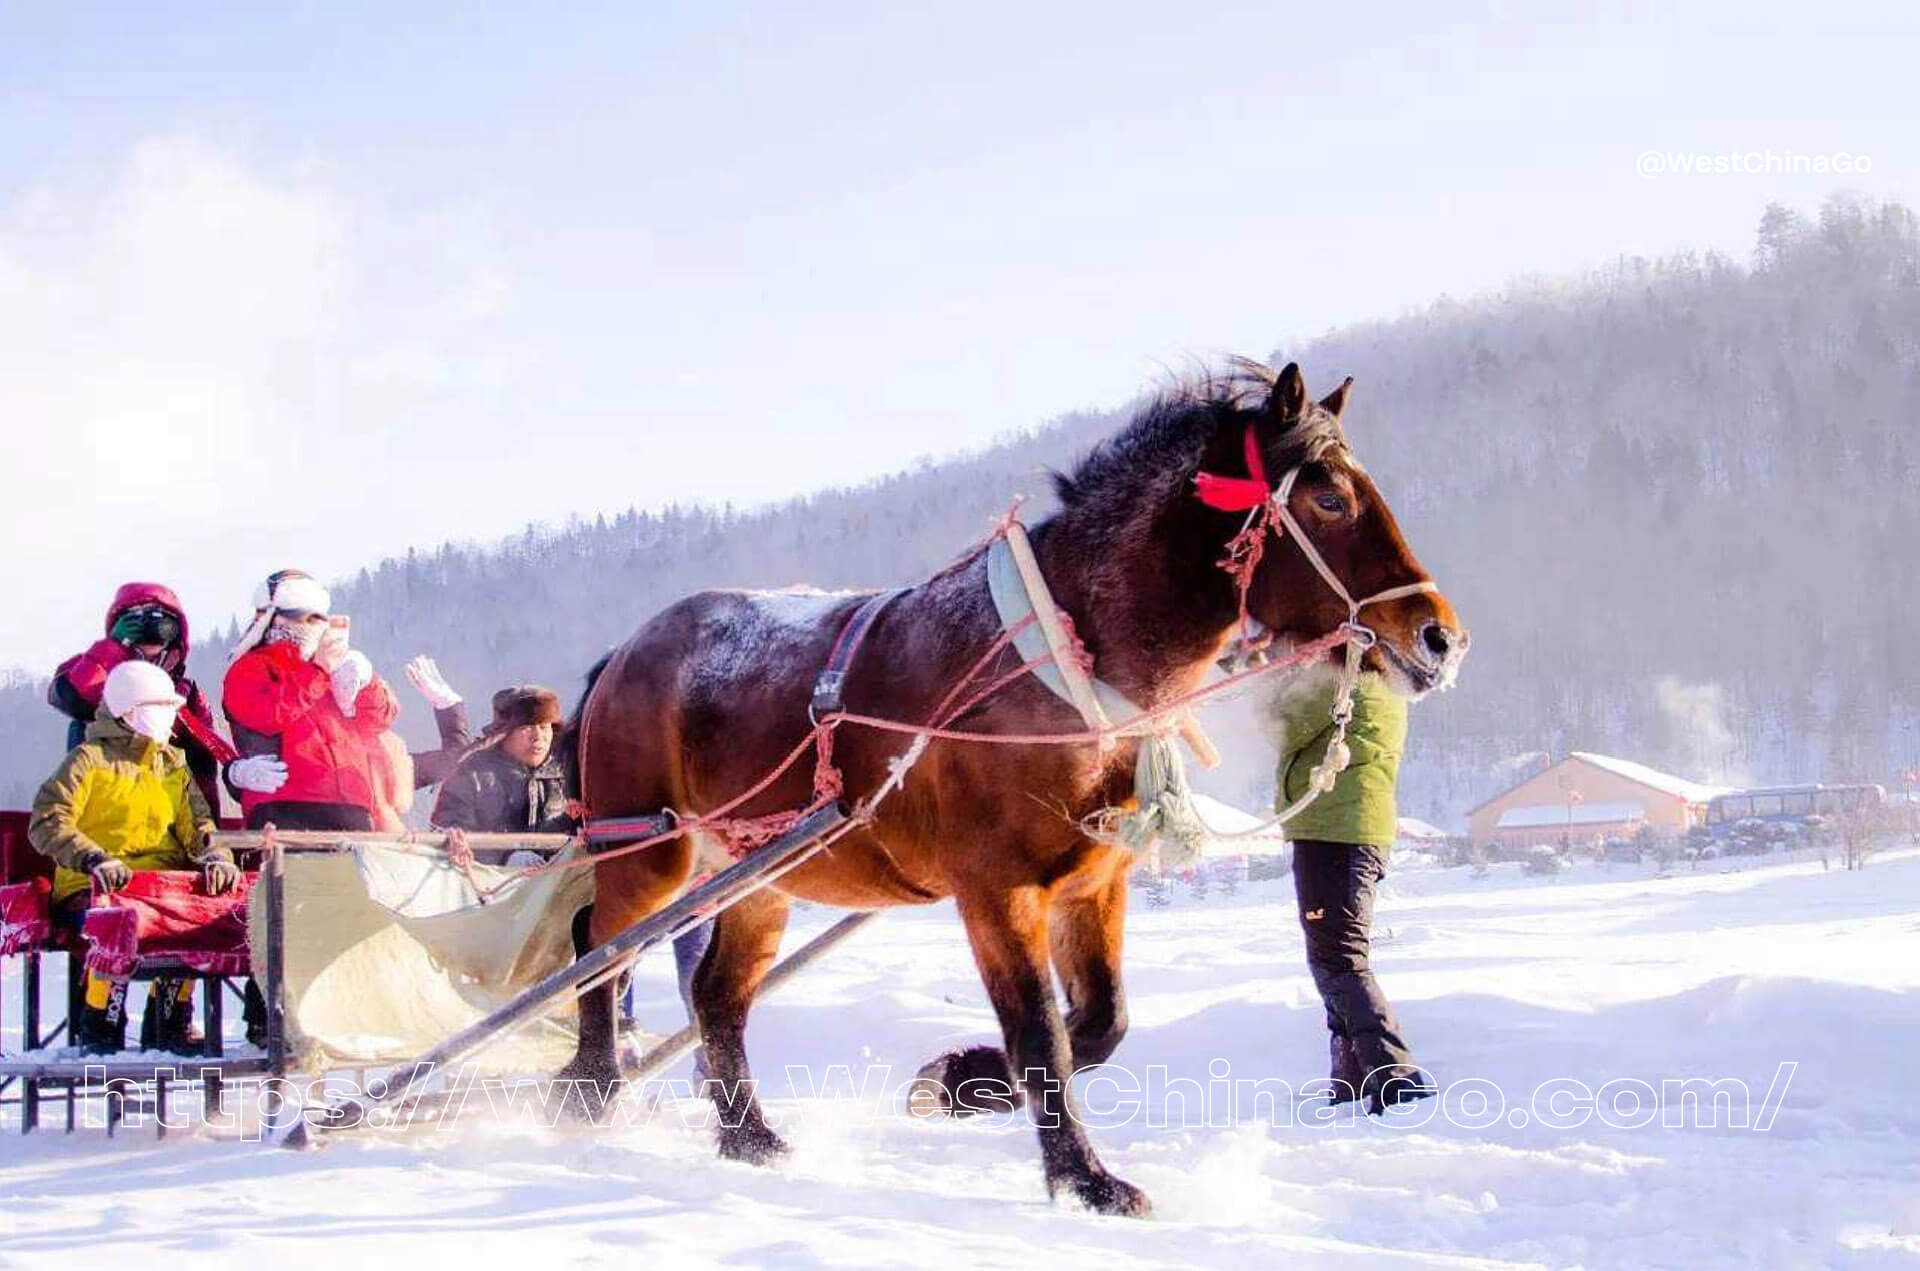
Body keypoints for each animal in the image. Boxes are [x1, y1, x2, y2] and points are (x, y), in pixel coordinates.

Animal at [560, 359, 1459, 1213]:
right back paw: (591, 1085)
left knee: (716, 996)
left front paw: (963, 1078)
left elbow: (1099, 1024)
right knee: (595, 948)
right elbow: (1041, 1035)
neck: (1067, 659)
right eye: (1331, 498)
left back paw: (748, 1135)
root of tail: (627, 651)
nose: (1440, 635)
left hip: (764, 876)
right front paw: (1086, 1178)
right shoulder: (995, 889)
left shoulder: (1090, 885)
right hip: (647, 850)